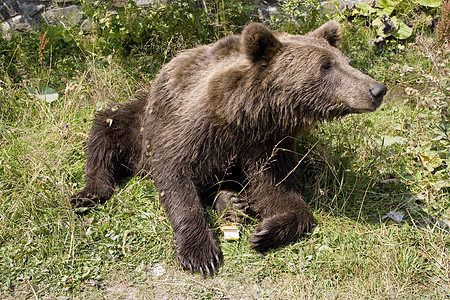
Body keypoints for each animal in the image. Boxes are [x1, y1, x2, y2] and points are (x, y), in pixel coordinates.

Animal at [71, 21, 386, 276]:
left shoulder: (268, 144)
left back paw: (230, 200)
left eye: (345, 61)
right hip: (140, 122)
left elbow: (278, 190)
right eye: (325, 65)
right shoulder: (193, 129)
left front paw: (266, 231)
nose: (377, 89)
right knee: (106, 129)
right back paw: (89, 192)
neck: (247, 114)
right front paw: (200, 254)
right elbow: (175, 176)